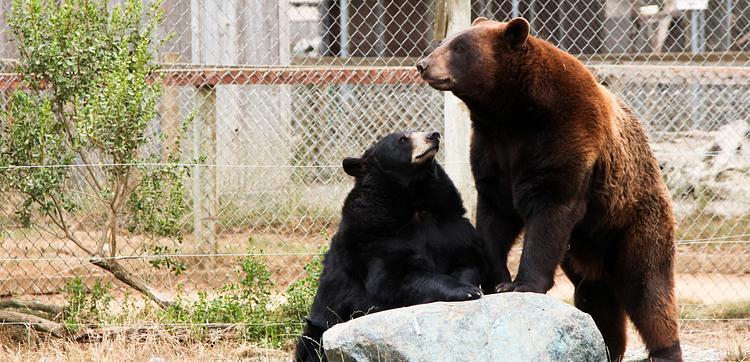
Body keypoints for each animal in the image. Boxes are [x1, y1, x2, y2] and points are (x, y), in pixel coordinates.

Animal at [294, 131, 488, 362]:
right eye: (403, 139)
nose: (434, 135)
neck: (414, 198)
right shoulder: (373, 238)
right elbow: (394, 279)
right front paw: (465, 291)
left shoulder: (450, 224)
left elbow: (467, 260)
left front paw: (472, 287)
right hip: (323, 325)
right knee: (312, 344)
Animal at [420, 17, 684, 362]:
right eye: (445, 41)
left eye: (460, 47)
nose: (423, 64)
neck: (513, 111)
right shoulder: (492, 150)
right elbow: (494, 216)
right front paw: (496, 280)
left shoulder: (564, 135)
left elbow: (550, 213)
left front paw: (522, 284)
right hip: (587, 250)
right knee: (595, 297)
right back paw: (607, 345)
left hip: (632, 222)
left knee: (646, 287)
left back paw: (665, 350)